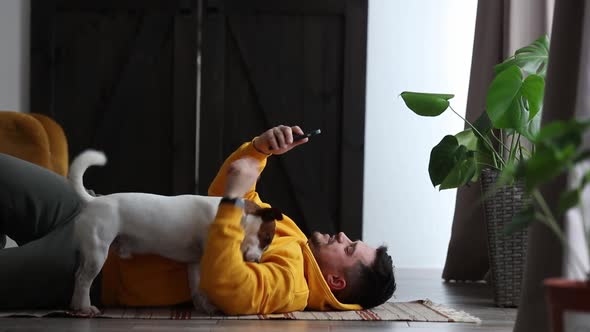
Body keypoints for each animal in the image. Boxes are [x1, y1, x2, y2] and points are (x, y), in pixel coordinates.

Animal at [69, 150, 282, 316]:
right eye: (266, 239)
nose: (257, 261)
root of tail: (92, 201)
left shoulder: (194, 263)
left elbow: (197, 288)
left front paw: (204, 308)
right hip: (97, 253)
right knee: (83, 280)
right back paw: (86, 308)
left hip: (90, 253)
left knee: (78, 276)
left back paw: (75, 306)